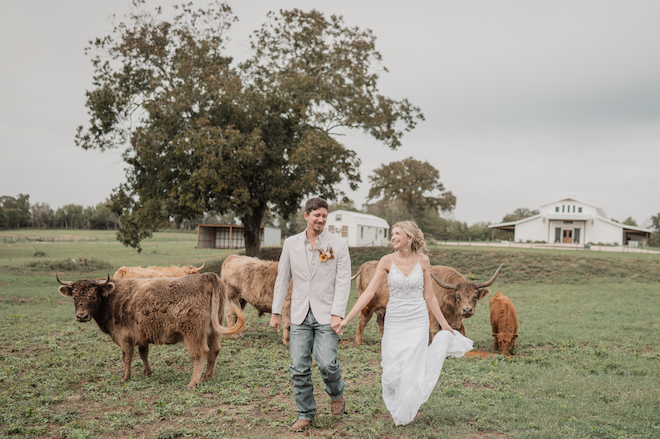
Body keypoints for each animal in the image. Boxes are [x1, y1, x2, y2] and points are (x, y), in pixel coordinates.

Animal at [56, 274, 245, 390]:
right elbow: (143, 353)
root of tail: (206, 276)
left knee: (200, 354)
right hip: (213, 330)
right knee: (214, 351)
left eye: (93, 296)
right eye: (75, 297)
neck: (112, 298)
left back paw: (193, 382)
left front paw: (125, 377)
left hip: (193, 332)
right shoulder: (141, 335)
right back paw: (207, 377)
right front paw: (148, 372)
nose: (81, 316)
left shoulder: (124, 336)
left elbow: (127, 357)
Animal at [354, 262, 502, 344]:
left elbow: (458, 330)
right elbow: (434, 330)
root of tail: (367, 264)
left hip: (383, 309)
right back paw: (359, 341)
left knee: (381, 323)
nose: (467, 310)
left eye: (475, 297)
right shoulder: (432, 314)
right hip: (368, 304)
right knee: (362, 320)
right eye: (458, 297)